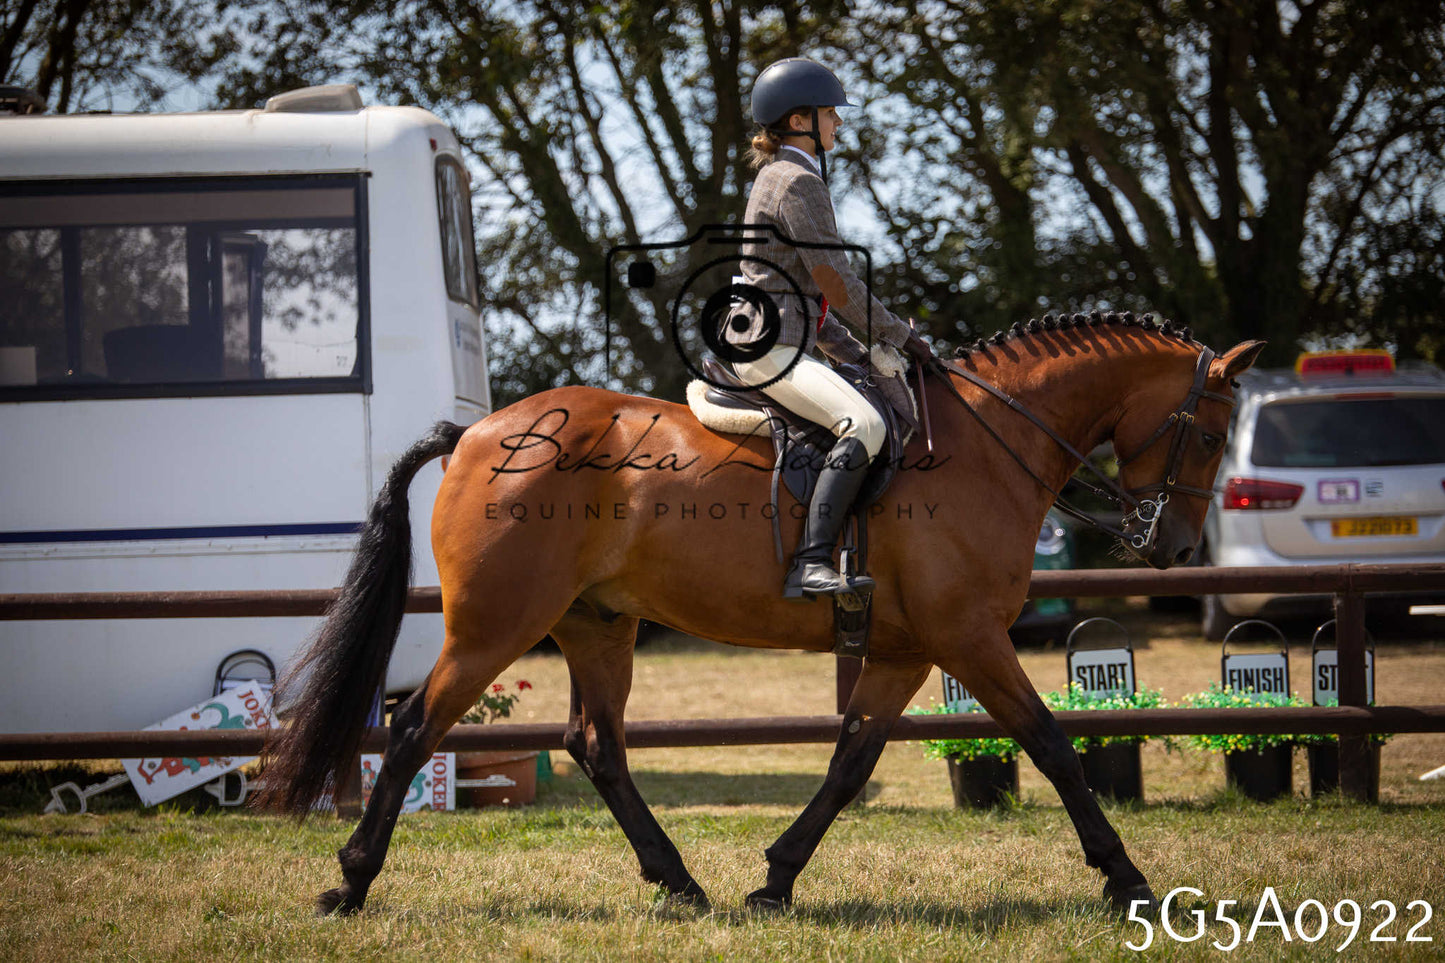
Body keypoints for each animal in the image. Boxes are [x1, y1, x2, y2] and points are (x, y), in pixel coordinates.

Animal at [256, 313, 1265, 916]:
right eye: (1213, 432)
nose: (1174, 548)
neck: (987, 444)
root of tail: (474, 432)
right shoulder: (970, 638)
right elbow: (1052, 744)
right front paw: (1127, 879)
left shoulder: (904, 650)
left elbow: (852, 761)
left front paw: (776, 879)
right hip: (493, 628)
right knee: (416, 729)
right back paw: (349, 882)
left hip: (596, 624)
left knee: (596, 742)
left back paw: (679, 881)